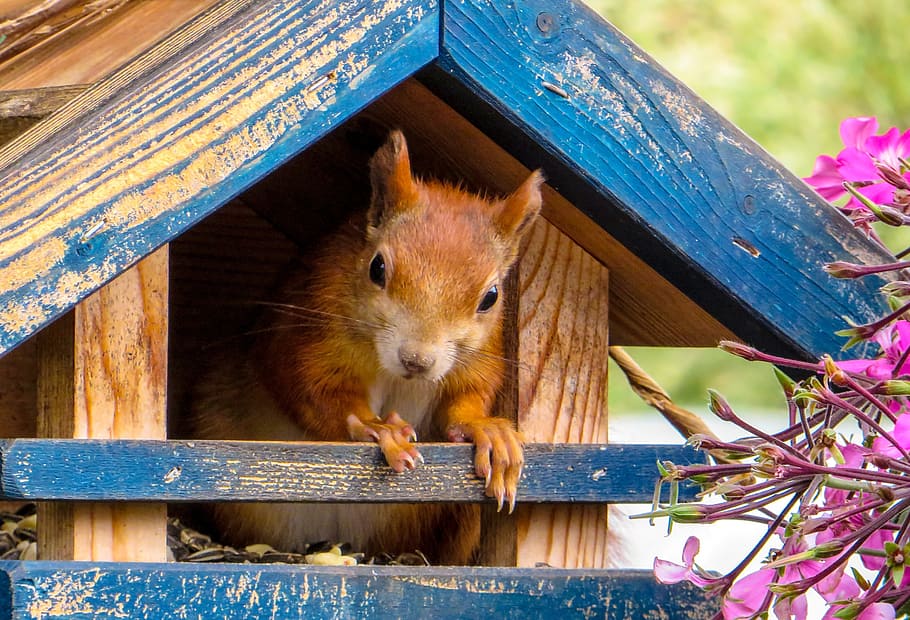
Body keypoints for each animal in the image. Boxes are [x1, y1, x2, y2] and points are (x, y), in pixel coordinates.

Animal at [187, 130, 543, 564]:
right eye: (377, 267)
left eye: (491, 297)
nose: (417, 360)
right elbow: (314, 392)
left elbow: (465, 401)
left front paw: (487, 431)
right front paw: (376, 427)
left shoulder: (478, 358)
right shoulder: (308, 333)